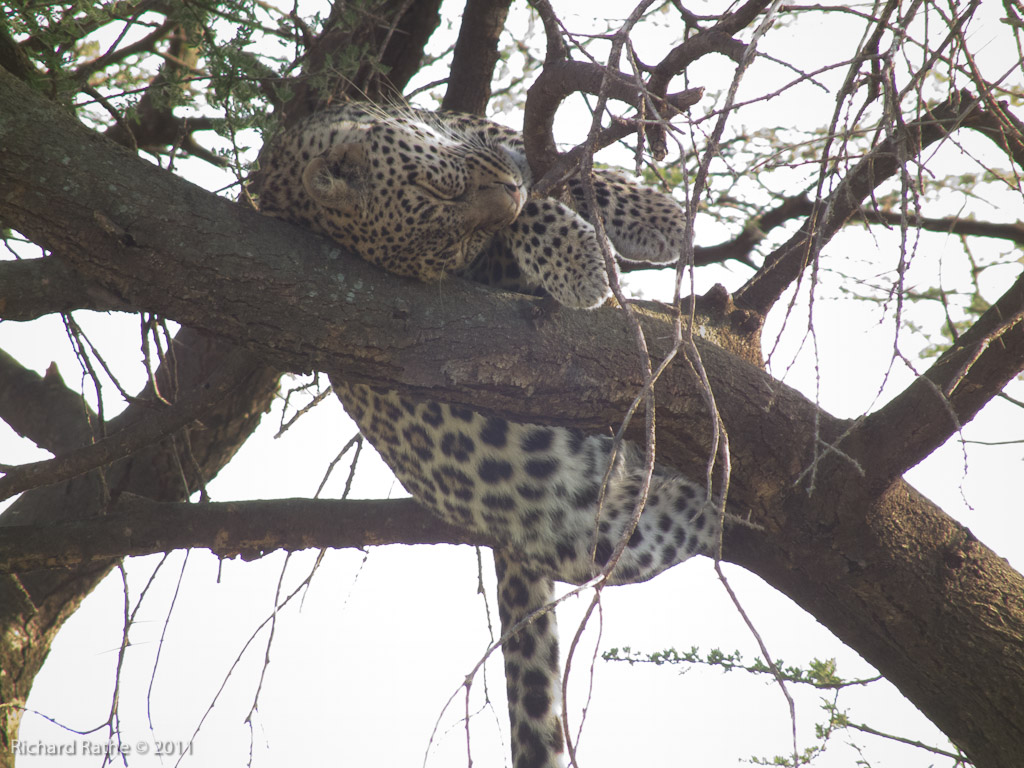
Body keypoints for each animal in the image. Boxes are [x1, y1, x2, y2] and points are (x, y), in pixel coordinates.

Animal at [258, 103, 720, 768]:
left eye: (440, 187)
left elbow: (575, 171)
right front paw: (581, 262)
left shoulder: (484, 132)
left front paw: (660, 219)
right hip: (610, 533)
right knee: (690, 521)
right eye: (454, 240)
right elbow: (538, 216)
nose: (512, 186)